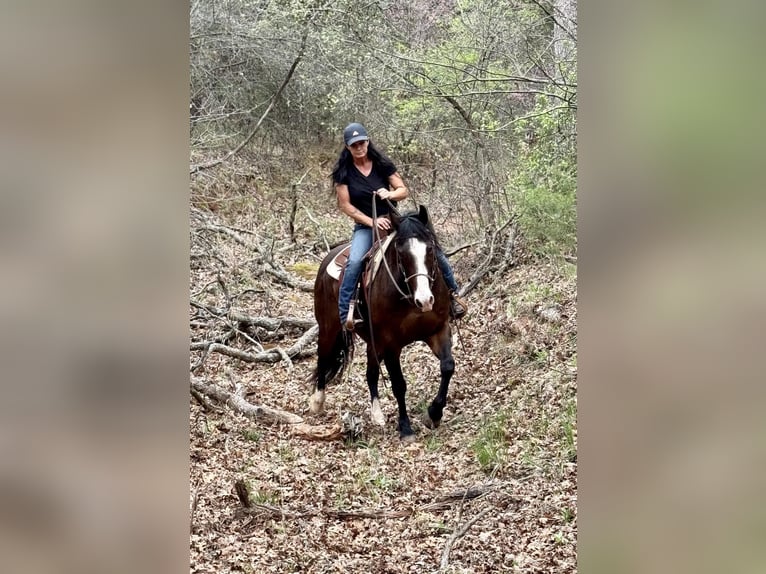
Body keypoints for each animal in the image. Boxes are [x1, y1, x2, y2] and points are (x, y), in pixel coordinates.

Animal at [310, 208, 456, 446]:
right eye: (401, 253)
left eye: (430, 249)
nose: (425, 300)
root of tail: (328, 259)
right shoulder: (391, 345)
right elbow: (398, 384)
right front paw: (405, 428)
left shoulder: (438, 330)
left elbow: (448, 366)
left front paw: (434, 413)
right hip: (328, 327)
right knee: (323, 357)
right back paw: (317, 401)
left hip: (373, 341)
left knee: (370, 373)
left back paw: (377, 414)